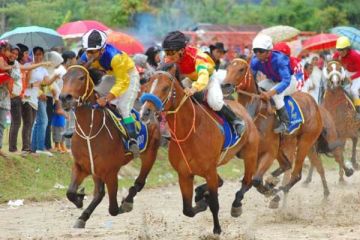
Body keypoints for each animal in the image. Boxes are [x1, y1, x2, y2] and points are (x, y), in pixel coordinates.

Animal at [59, 65, 160, 229]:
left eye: (81, 78)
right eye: (63, 78)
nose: (64, 98)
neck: (89, 132)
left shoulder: (110, 171)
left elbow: (113, 208)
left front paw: (123, 204)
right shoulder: (83, 166)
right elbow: (71, 192)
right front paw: (80, 200)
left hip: (150, 153)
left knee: (139, 183)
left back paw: (128, 201)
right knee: (99, 193)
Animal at [139, 67, 260, 234]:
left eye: (165, 88)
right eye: (146, 87)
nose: (145, 112)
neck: (189, 133)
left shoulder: (209, 172)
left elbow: (215, 204)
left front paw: (217, 229)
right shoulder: (184, 174)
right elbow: (187, 210)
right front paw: (202, 202)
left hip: (250, 154)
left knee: (247, 182)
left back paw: (236, 205)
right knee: (222, 181)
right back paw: (201, 194)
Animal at [224, 58, 324, 208]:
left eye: (241, 69)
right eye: (228, 68)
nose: (225, 85)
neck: (256, 113)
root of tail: (313, 101)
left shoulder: (269, 151)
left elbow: (256, 180)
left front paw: (270, 191)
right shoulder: (253, 153)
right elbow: (252, 180)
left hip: (305, 142)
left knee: (296, 175)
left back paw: (276, 191)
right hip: (284, 145)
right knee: (286, 165)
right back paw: (272, 182)